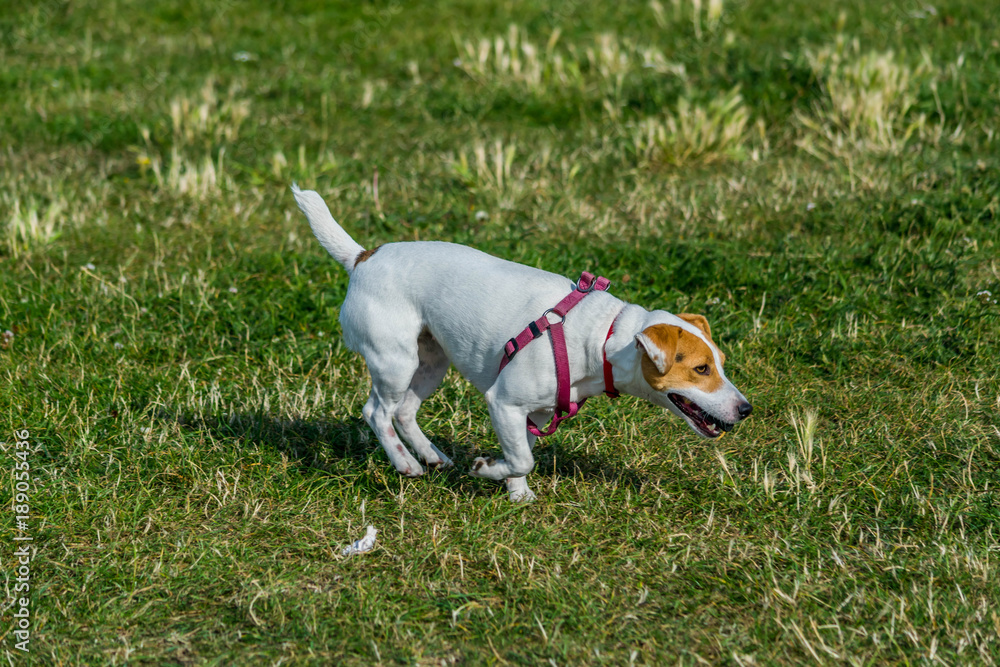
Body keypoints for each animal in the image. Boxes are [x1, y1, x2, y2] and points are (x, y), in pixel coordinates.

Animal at [292, 184, 752, 500]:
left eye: (721, 363)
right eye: (700, 369)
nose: (746, 409)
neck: (603, 336)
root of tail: (362, 257)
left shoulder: (534, 412)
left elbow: (521, 454)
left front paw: (518, 493)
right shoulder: (504, 402)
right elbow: (522, 457)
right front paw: (487, 470)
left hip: (431, 362)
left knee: (404, 411)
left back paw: (431, 456)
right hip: (395, 361)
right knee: (376, 412)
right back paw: (405, 463)